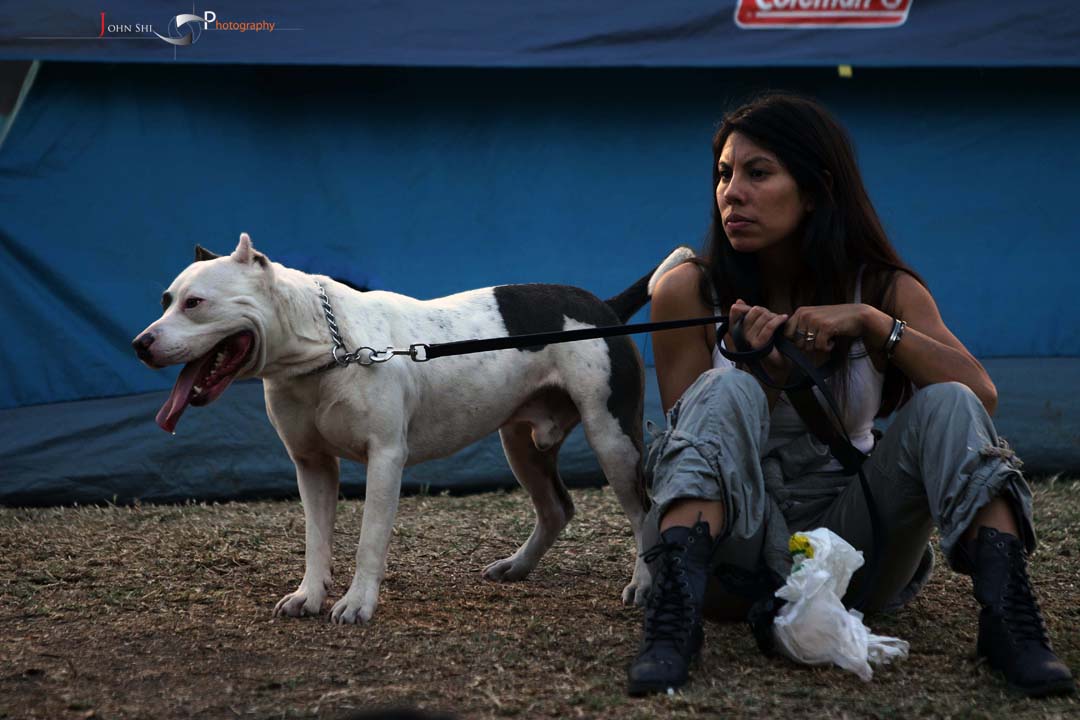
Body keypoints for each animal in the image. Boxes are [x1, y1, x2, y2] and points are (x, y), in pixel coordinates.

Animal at [132, 234, 691, 621]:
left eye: (195, 303)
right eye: (165, 299)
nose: (140, 343)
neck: (325, 349)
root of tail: (604, 307)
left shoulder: (384, 459)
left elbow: (368, 540)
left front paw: (357, 603)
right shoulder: (311, 465)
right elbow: (316, 538)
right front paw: (309, 595)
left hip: (611, 436)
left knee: (643, 511)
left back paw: (643, 583)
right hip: (519, 442)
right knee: (557, 507)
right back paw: (516, 566)